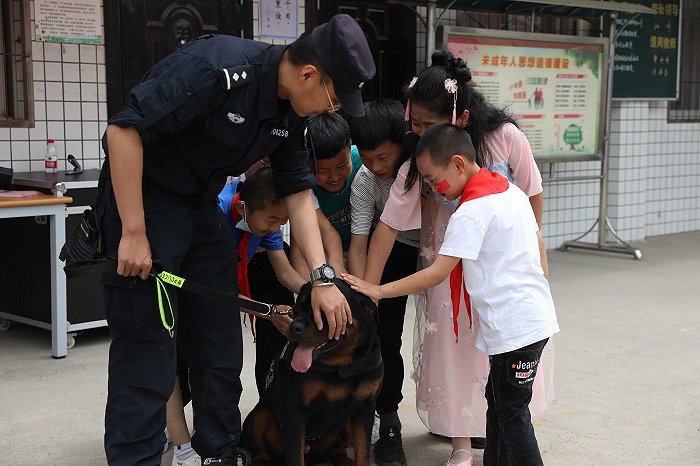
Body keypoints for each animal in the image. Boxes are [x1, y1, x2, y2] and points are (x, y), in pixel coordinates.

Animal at [241, 278, 382, 464]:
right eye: (297, 309)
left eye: (323, 311)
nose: (294, 327)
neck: (342, 365)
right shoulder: (295, 411)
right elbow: (295, 457)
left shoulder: (365, 407)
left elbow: (363, 454)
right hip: (261, 414)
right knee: (261, 453)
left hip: (345, 425)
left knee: (336, 451)